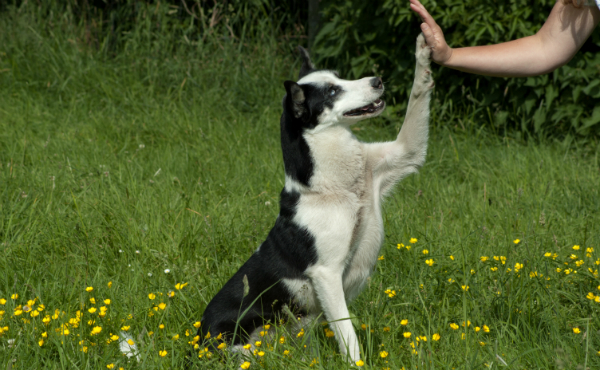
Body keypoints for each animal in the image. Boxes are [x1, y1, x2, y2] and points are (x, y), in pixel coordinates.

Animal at [197, 33, 436, 362]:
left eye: (339, 77)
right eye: (333, 92)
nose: (377, 80)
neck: (336, 186)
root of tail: (197, 340)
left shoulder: (405, 153)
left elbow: (418, 95)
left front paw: (424, 50)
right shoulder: (327, 275)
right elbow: (348, 335)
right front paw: (356, 365)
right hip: (240, 346)